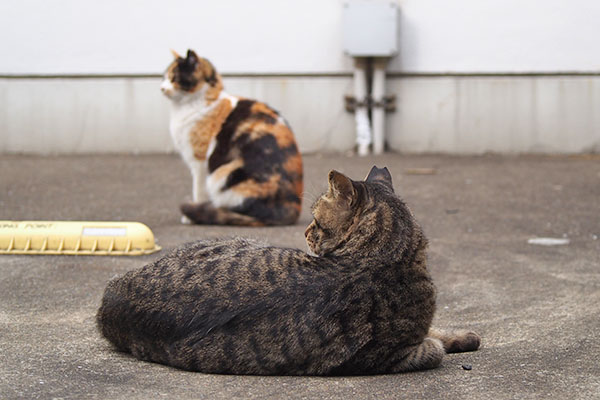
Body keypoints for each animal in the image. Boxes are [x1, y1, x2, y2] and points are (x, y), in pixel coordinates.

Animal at [96, 166, 480, 376]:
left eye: (316, 222)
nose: (306, 232)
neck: (382, 256)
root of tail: (111, 295)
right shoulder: (395, 354)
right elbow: (435, 344)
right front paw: (455, 339)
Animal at [159, 49, 302, 225]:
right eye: (164, 77)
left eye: (174, 77)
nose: (162, 88)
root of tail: (293, 209)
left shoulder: (200, 162)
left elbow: (198, 191)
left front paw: (190, 216)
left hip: (223, 174)